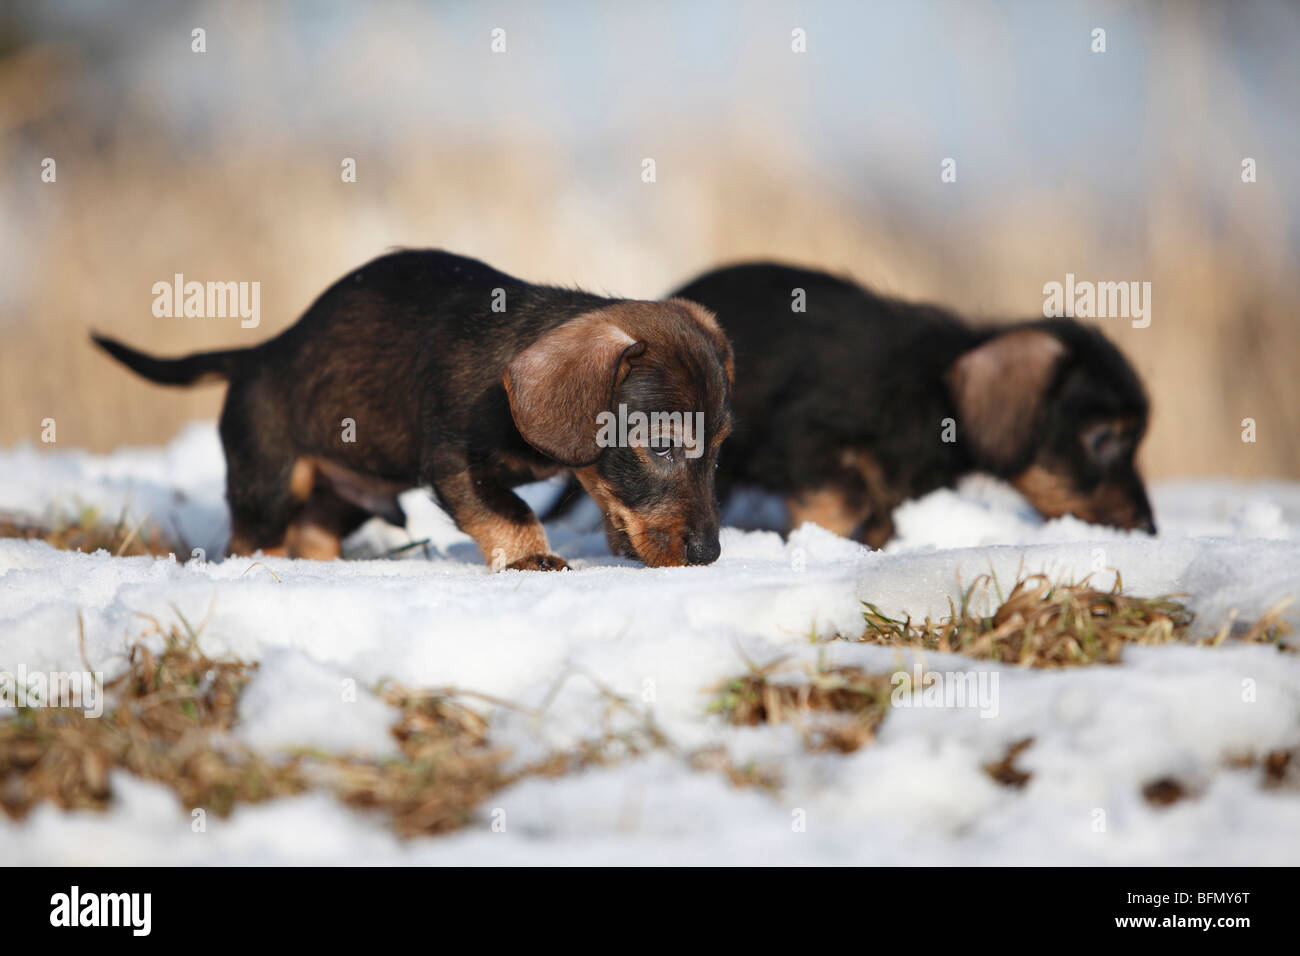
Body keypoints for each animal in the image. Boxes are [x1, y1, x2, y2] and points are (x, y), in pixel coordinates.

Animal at [94, 251, 733, 572]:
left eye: (720, 448)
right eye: (662, 445)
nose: (709, 556)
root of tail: (261, 352)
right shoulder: (455, 463)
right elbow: (511, 510)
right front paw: (532, 558)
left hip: (343, 493)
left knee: (315, 531)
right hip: (270, 484)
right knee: (255, 538)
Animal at [665, 261, 1154, 548]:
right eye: (1102, 438)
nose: (1151, 528)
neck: (932, 392)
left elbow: (883, 518)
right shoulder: (807, 443)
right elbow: (843, 501)